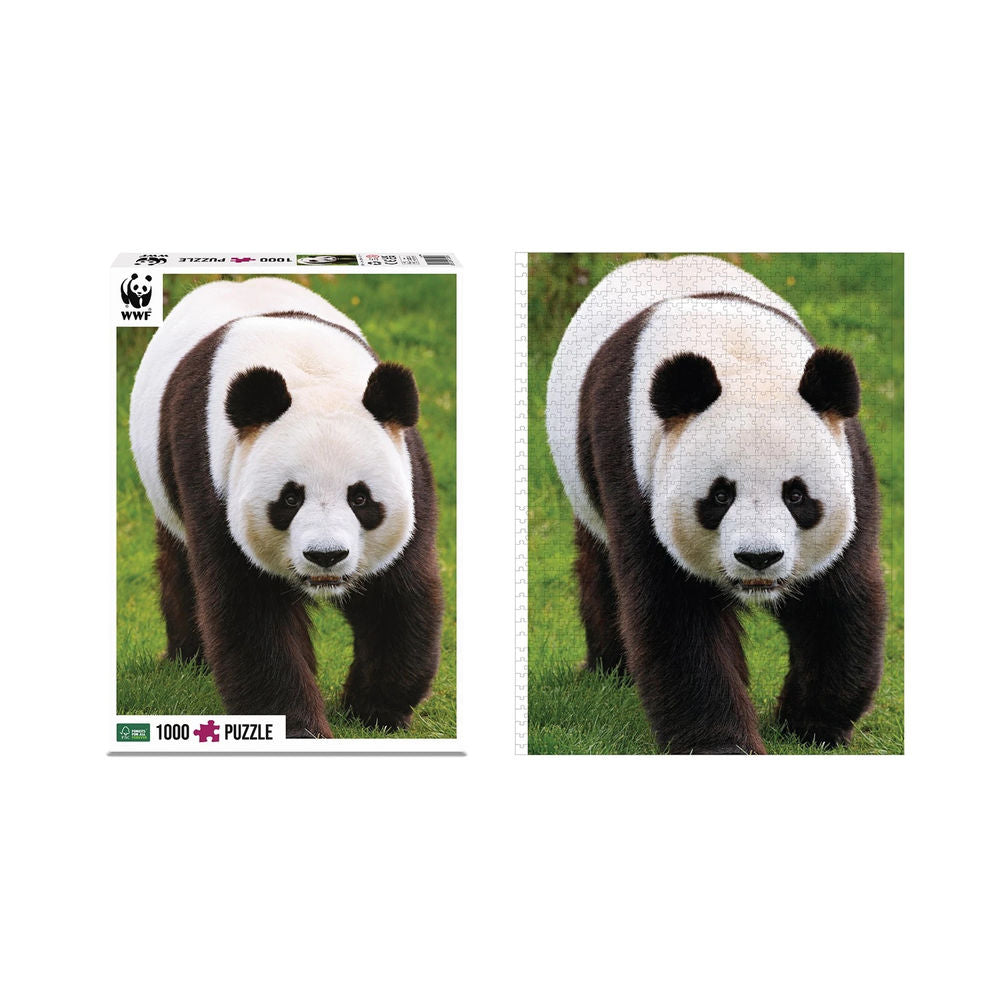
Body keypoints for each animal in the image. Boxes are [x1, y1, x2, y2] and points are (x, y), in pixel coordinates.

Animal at [129, 277, 443, 738]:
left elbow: (396, 596)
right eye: (290, 498)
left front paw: (373, 712)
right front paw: (298, 726)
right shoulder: (214, 477)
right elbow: (250, 611)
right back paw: (188, 659)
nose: (326, 556)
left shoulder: (407, 468)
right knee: (180, 564)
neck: (306, 370)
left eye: (360, 498)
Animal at [546, 255, 887, 754]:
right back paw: (610, 669)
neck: (740, 360)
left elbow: (835, 602)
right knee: (601, 567)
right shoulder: (637, 471)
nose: (759, 558)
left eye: (796, 494)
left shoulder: (848, 465)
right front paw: (721, 744)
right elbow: (676, 616)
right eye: (720, 496)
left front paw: (811, 727)